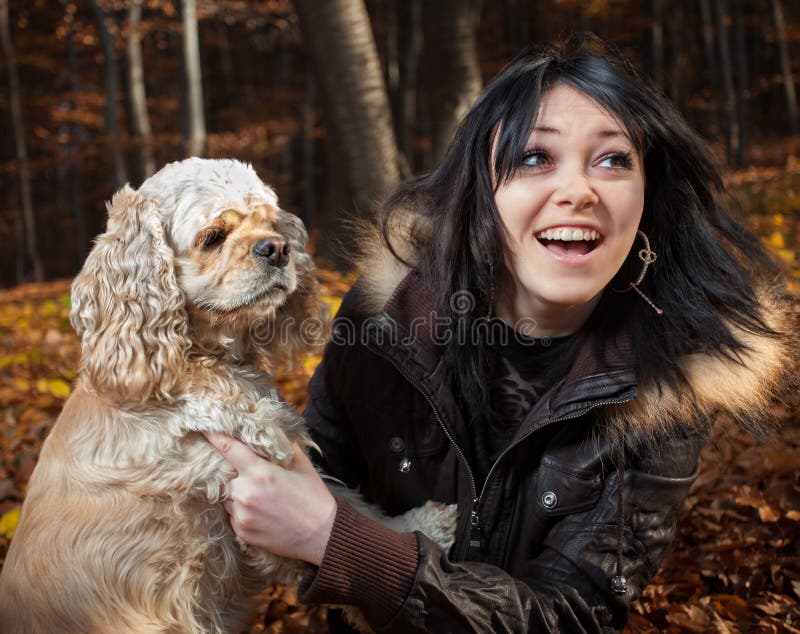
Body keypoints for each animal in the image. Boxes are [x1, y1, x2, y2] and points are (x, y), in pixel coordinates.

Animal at [0, 158, 456, 632]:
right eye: (214, 236)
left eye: (271, 223)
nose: (277, 248)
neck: (201, 363)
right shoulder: (237, 485)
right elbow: (336, 533)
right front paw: (419, 535)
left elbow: (345, 506)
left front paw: (424, 528)